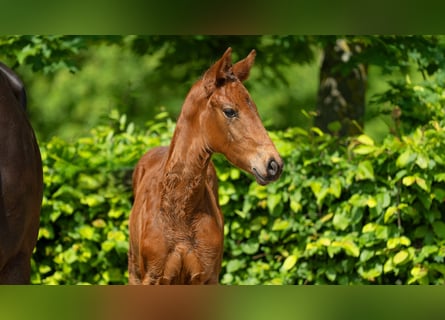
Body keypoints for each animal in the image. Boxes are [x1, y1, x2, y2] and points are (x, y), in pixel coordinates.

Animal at [126, 49, 282, 284]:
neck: (180, 211)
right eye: (229, 111)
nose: (274, 164)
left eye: (254, 108)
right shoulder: (153, 278)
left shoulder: (206, 276)